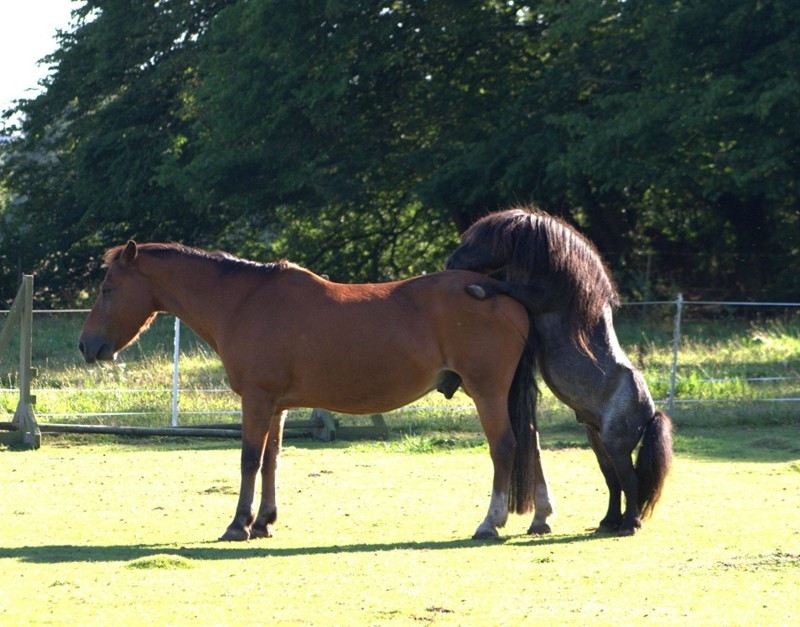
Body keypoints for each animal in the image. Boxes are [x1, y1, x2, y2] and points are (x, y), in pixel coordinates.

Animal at [79, 243, 536, 544]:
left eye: (106, 289)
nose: (86, 345)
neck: (244, 302)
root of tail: (500, 294)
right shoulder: (276, 405)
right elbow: (271, 461)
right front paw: (264, 521)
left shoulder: (256, 399)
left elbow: (248, 460)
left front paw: (238, 524)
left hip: (487, 392)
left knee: (503, 447)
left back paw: (490, 522)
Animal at [446, 209, 672, 536]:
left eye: (483, 239)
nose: (450, 262)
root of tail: (651, 412)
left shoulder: (536, 299)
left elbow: (506, 287)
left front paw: (479, 288)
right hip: (598, 441)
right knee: (613, 479)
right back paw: (608, 522)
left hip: (615, 446)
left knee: (628, 479)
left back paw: (629, 524)